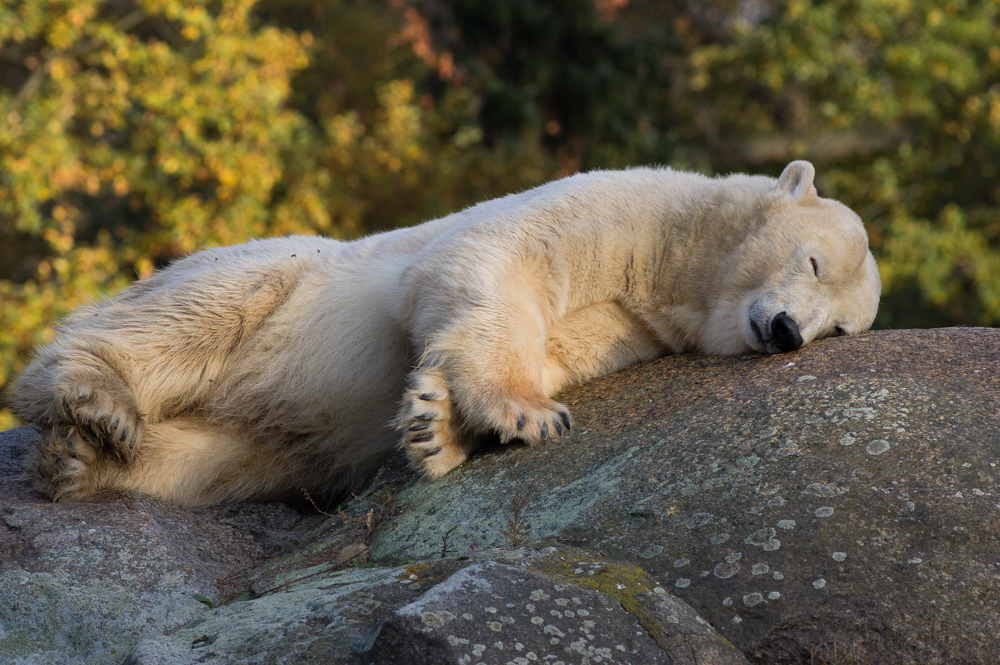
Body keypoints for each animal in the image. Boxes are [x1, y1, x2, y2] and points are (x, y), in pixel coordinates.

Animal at [13, 160, 876, 504]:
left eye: (840, 328)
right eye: (812, 259)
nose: (788, 330)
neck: (678, 263)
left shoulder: (630, 326)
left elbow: (547, 346)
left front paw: (437, 427)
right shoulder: (619, 209)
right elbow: (496, 265)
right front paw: (528, 412)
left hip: (276, 439)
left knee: (223, 460)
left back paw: (84, 460)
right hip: (282, 273)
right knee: (197, 311)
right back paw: (94, 399)